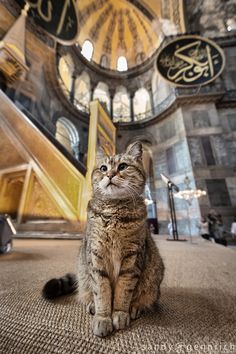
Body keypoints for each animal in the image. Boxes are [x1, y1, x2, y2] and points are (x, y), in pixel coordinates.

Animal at [42, 142, 164, 338]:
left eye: (122, 166)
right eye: (103, 168)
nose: (110, 175)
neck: (113, 214)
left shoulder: (132, 259)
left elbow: (123, 291)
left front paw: (120, 313)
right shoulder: (96, 256)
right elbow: (102, 292)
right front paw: (103, 317)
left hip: (153, 280)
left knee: (146, 297)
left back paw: (136, 307)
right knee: (87, 292)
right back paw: (92, 304)